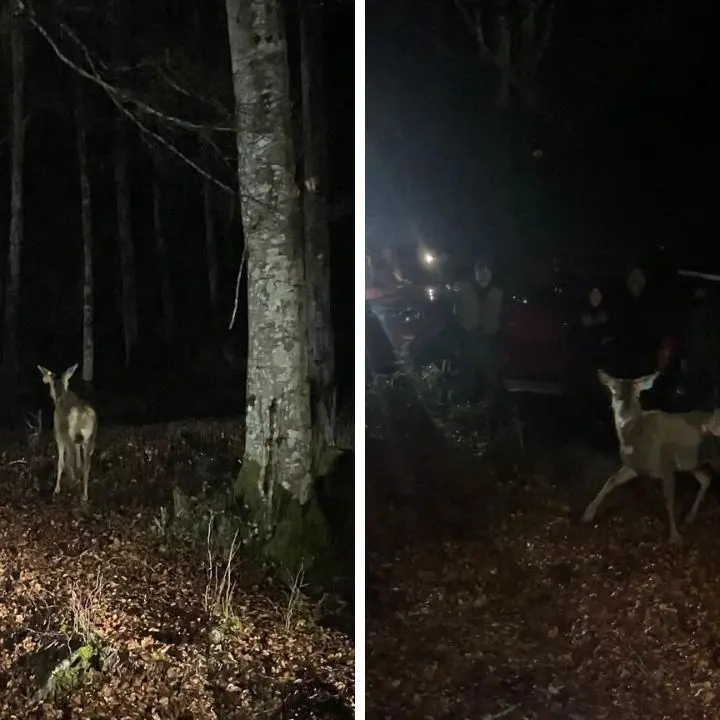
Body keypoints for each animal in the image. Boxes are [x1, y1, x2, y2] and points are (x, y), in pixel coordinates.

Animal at [38, 362, 97, 504]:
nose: (43, 379)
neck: (59, 396)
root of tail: (83, 415)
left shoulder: (59, 435)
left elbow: (61, 462)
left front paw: (56, 488)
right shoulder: (78, 440)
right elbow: (78, 459)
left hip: (69, 436)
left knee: (70, 460)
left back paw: (73, 486)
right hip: (90, 438)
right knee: (87, 466)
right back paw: (84, 495)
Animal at [584, 368, 716, 544]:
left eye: (637, 395)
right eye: (614, 392)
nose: (624, 416)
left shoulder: (666, 468)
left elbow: (668, 501)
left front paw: (675, 537)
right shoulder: (635, 466)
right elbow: (611, 480)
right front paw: (587, 514)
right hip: (692, 464)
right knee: (706, 477)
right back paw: (689, 517)